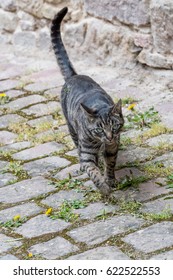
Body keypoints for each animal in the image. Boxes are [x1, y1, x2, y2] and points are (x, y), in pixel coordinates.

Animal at [50, 6, 123, 195]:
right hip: (71, 128)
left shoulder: (113, 147)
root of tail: (74, 76)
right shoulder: (88, 153)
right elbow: (92, 170)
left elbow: (110, 164)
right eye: (99, 129)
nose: (109, 137)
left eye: (114, 126)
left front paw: (110, 180)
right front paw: (104, 188)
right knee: (78, 148)